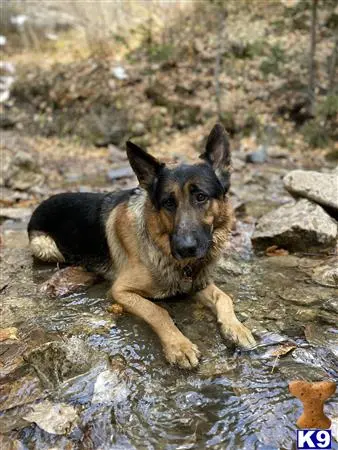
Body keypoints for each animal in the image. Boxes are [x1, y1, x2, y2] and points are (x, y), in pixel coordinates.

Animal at [28, 125, 256, 368]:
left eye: (201, 197)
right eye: (168, 202)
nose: (185, 248)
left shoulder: (199, 283)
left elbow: (225, 297)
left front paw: (237, 328)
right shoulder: (121, 290)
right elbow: (158, 311)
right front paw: (179, 346)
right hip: (47, 248)